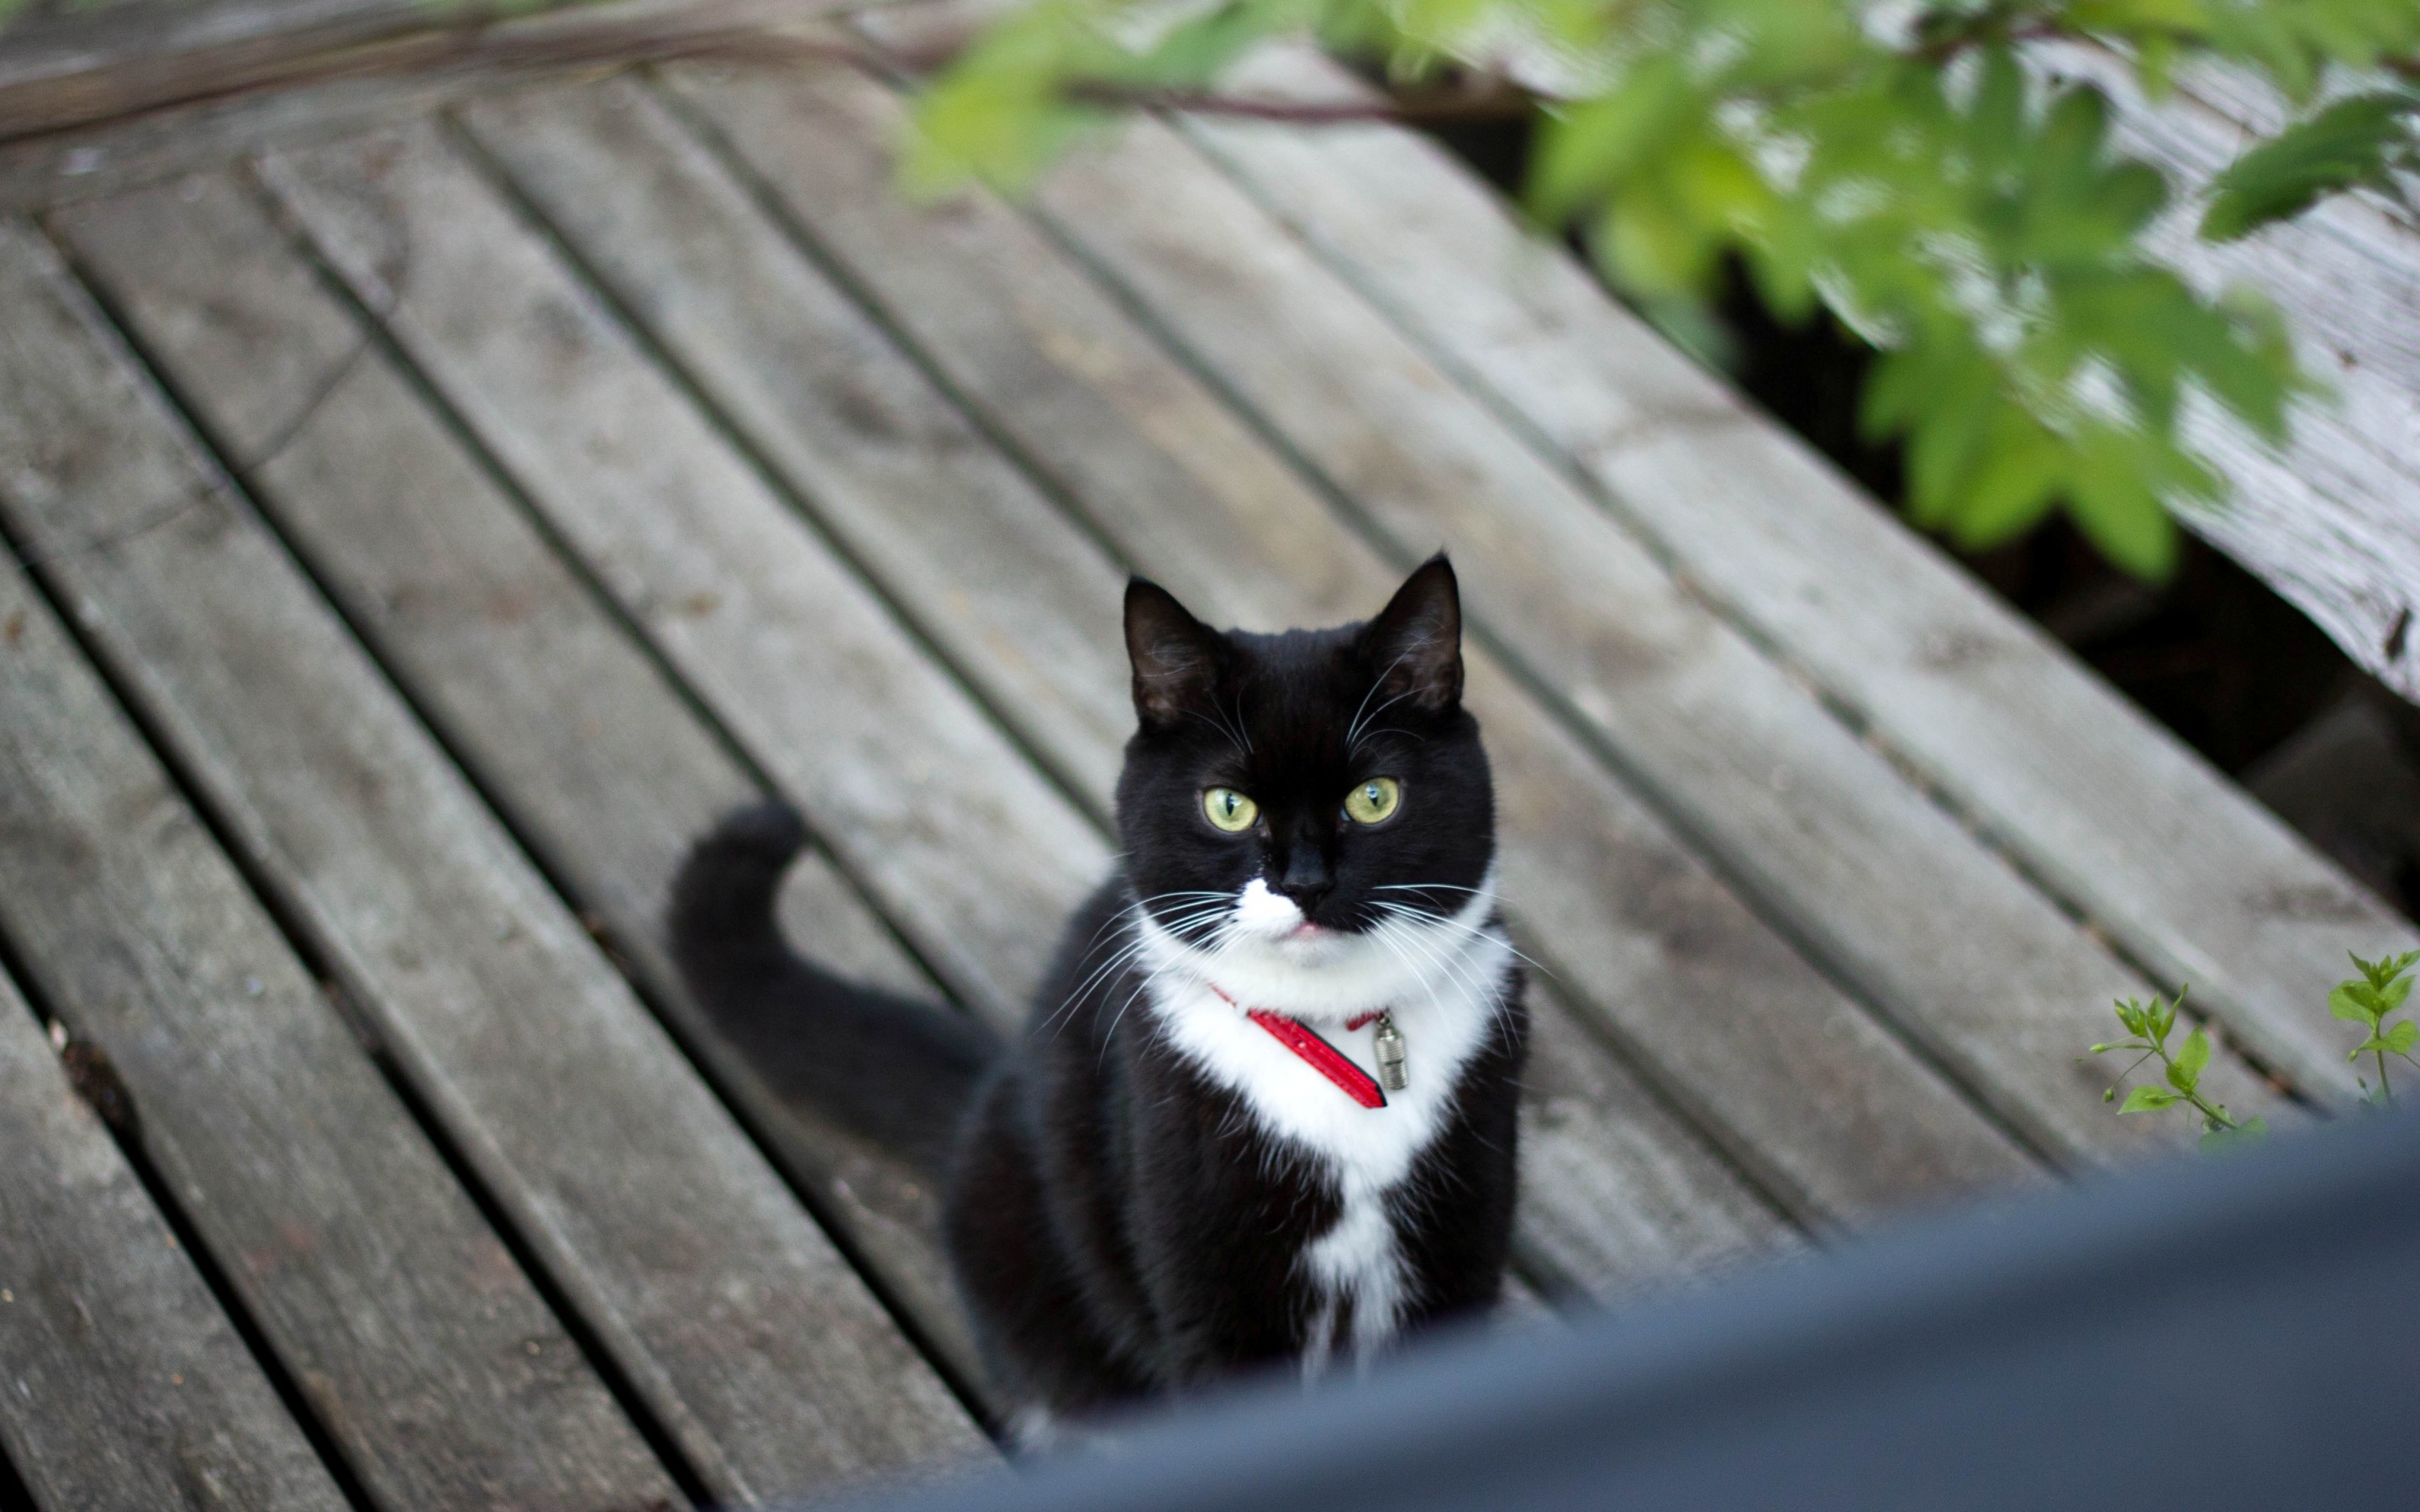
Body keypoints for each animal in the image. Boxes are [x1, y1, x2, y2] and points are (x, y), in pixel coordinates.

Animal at [672, 554, 1519, 1422]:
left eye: (1374, 798)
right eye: (1228, 806)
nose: (1306, 883)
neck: (1331, 1036)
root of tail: (996, 1084)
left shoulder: (1463, 1233)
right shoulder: (1199, 1252)